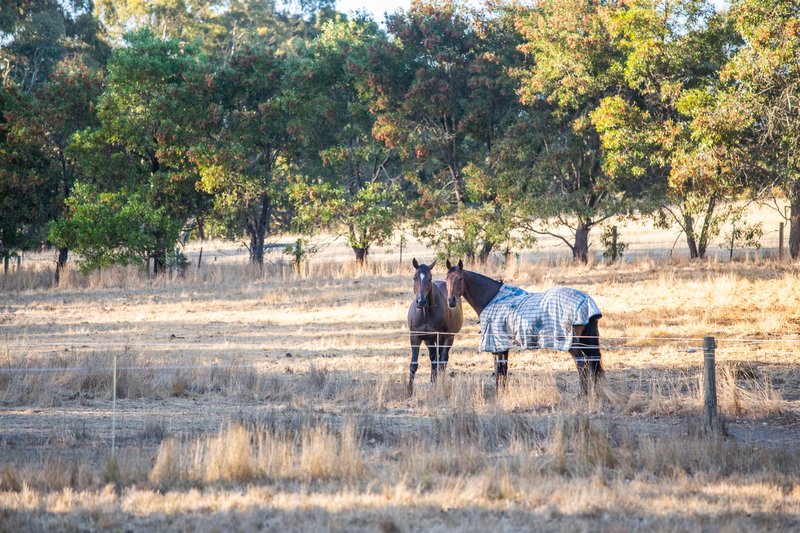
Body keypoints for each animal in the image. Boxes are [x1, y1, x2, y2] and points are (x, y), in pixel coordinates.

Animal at [406, 258, 462, 394]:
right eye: (414, 277)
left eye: (430, 278)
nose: (421, 301)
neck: (426, 313)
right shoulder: (415, 337)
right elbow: (414, 364)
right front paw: (409, 390)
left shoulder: (440, 337)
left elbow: (440, 361)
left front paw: (438, 387)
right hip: (429, 340)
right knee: (433, 359)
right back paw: (432, 381)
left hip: (449, 338)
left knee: (443, 360)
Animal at [440, 260, 604, 392]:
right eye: (446, 279)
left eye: (460, 279)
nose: (451, 301)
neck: (492, 299)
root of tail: (586, 300)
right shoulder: (502, 346)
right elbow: (502, 371)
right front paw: (503, 394)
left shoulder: (497, 345)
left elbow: (499, 371)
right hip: (586, 341)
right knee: (592, 362)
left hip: (572, 343)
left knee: (582, 364)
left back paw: (582, 394)